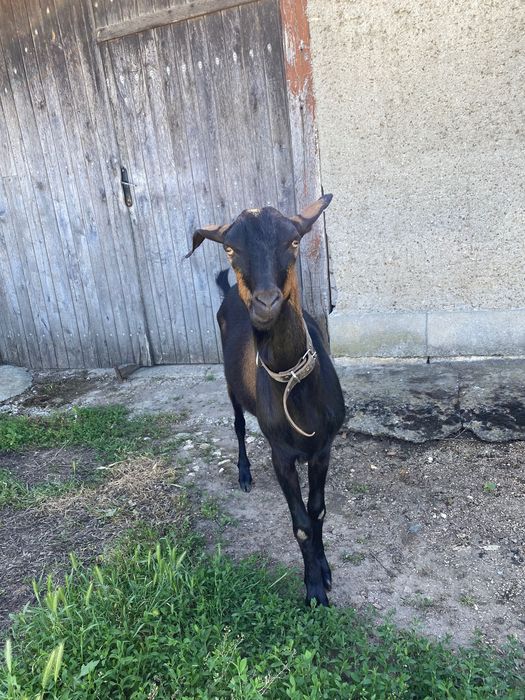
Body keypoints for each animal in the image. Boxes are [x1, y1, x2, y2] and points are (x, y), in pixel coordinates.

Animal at [186, 195, 345, 605]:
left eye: (294, 240)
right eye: (229, 247)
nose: (266, 303)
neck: (294, 385)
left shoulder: (323, 449)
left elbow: (317, 511)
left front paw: (324, 569)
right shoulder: (282, 457)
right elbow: (301, 524)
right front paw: (314, 588)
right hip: (231, 386)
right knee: (239, 425)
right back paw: (244, 473)